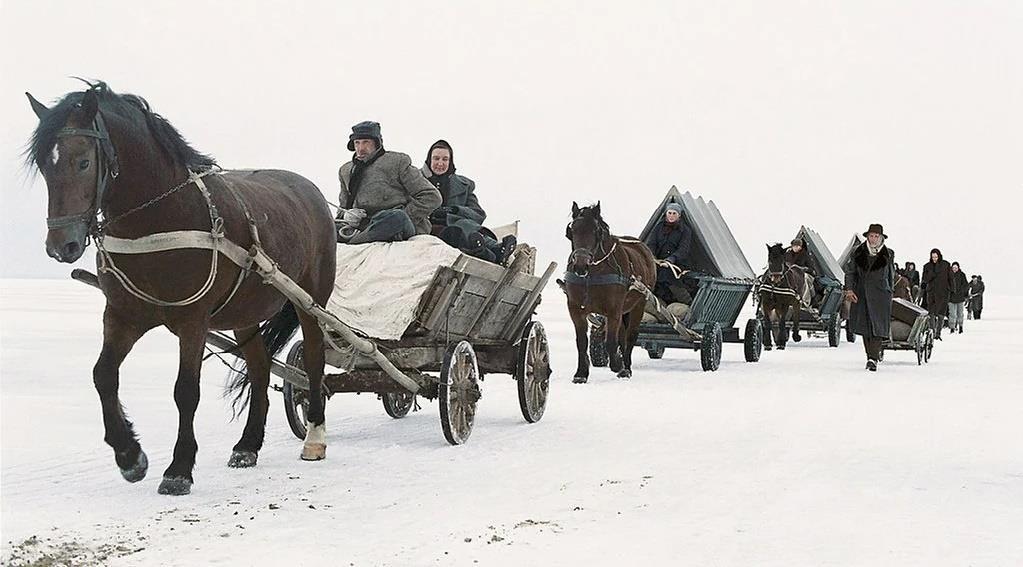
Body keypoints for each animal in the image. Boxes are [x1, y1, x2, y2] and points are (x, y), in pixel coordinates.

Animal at [24, 81, 335, 491]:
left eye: (83, 162)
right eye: (46, 165)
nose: (62, 245)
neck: (159, 220)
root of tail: (311, 191)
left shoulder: (193, 320)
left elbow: (185, 391)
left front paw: (178, 468)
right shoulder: (123, 315)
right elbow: (103, 376)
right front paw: (129, 456)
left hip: (310, 299)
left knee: (313, 358)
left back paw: (314, 435)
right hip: (244, 312)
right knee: (259, 366)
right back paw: (247, 444)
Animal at [560, 200, 654, 382]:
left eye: (596, 231)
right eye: (572, 230)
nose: (580, 266)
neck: (592, 275)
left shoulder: (613, 310)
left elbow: (611, 341)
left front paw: (617, 365)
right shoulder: (575, 309)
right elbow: (581, 341)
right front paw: (581, 374)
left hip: (639, 304)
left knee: (630, 336)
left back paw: (626, 368)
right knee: (623, 335)